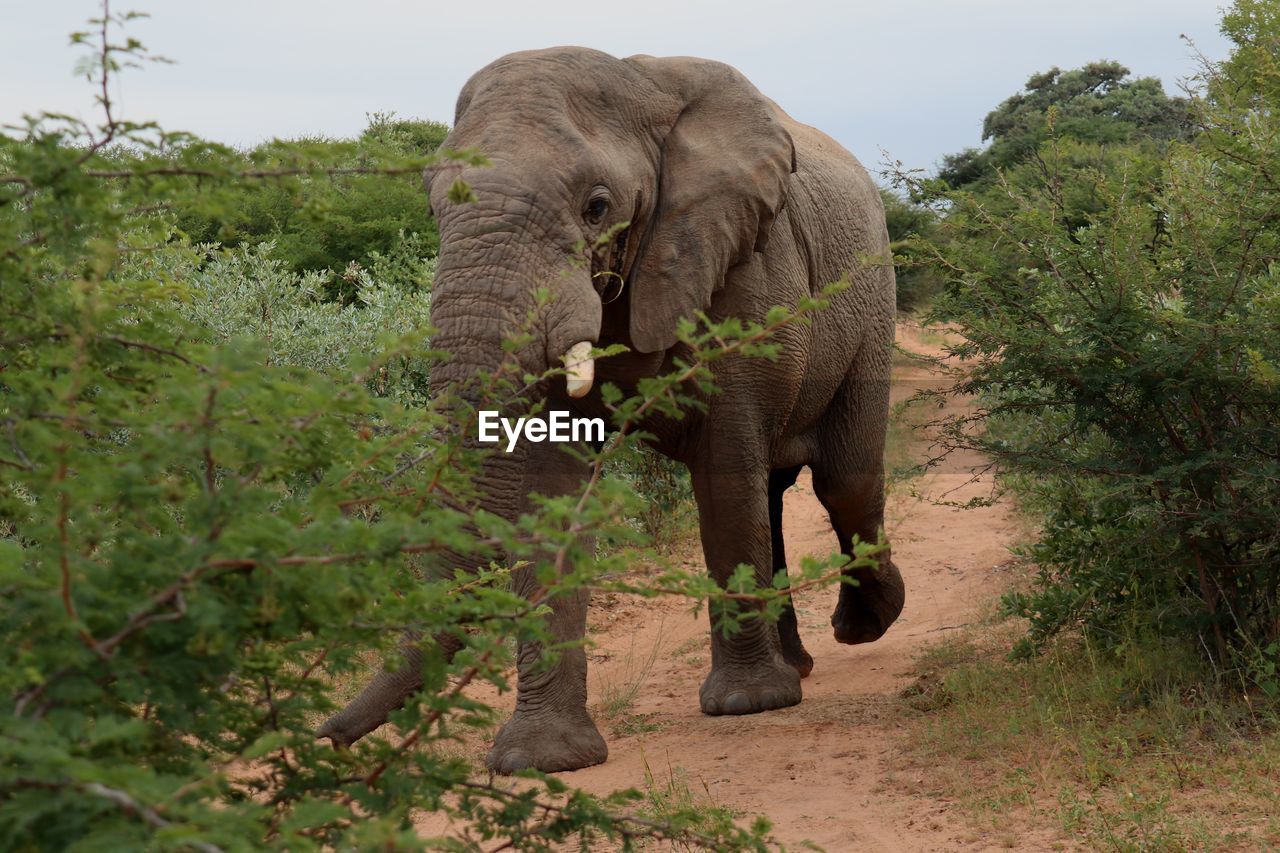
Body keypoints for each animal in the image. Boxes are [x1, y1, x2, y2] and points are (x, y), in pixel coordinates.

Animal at [317, 49, 901, 773]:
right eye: (431, 206)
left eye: (597, 207)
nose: (329, 736)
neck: (640, 86)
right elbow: (553, 497)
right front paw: (542, 759)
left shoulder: (745, 272)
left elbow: (724, 474)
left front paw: (748, 705)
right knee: (775, 492)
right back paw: (801, 664)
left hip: (873, 299)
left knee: (843, 482)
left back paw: (865, 625)